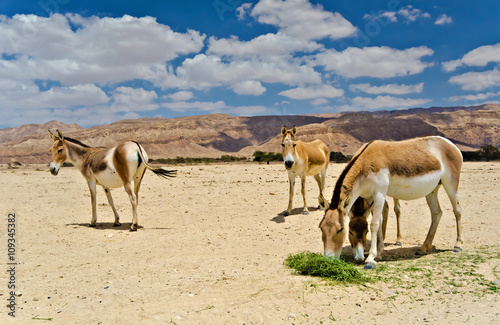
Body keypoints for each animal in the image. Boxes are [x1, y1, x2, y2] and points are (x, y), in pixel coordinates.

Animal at [47, 129, 176, 230]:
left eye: (59, 150)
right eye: (50, 150)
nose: (52, 169)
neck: (85, 157)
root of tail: (135, 146)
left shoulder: (90, 181)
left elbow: (93, 200)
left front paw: (92, 222)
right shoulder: (104, 184)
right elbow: (110, 201)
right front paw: (117, 221)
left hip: (126, 181)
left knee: (132, 198)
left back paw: (133, 226)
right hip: (138, 179)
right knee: (137, 197)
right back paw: (132, 221)